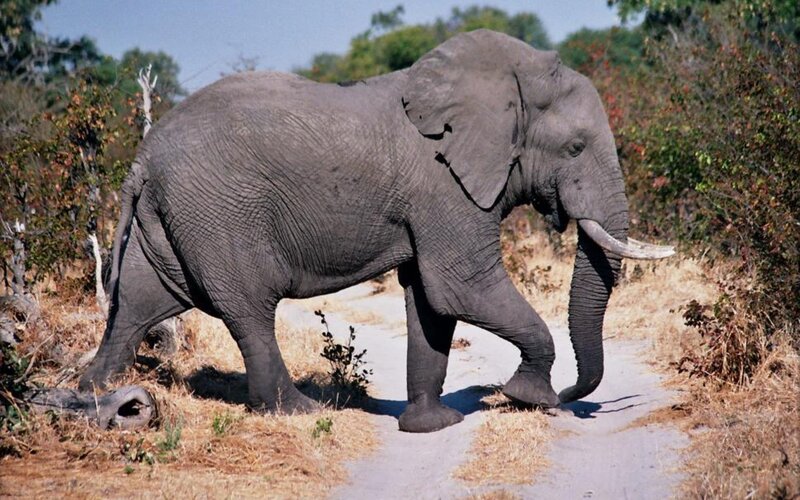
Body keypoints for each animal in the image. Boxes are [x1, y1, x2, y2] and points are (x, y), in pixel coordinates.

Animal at [79, 29, 672, 433]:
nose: (572, 394)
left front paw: (433, 426)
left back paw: (96, 395)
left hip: (169, 217)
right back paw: (300, 411)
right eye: (574, 148)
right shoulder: (443, 186)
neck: (507, 79)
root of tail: (142, 156)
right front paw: (531, 398)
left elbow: (430, 300)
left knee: (138, 304)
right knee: (247, 308)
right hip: (218, 211)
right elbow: (461, 286)